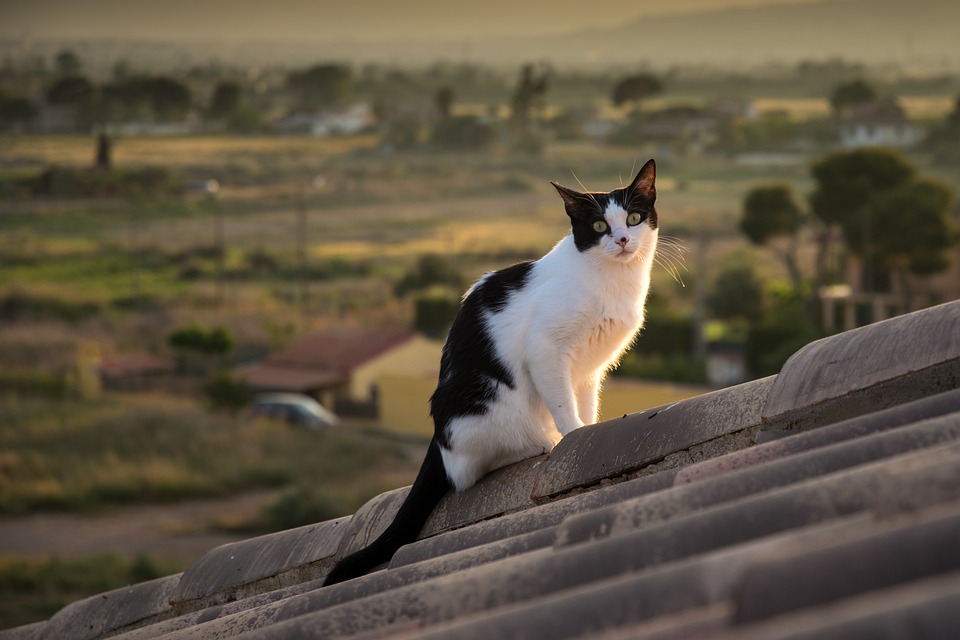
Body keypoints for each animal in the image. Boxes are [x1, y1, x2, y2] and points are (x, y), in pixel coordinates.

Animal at [322, 159, 660, 584]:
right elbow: (564, 406)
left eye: (633, 218)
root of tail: (436, 439)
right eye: (599, 226)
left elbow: (585, 404)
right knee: (467, 469)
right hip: (483, 402)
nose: (622, 241)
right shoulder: (546, 352)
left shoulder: (587, 369)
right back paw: (539, 442)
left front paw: (590, 427)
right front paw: (572, 434)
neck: (610, 280)